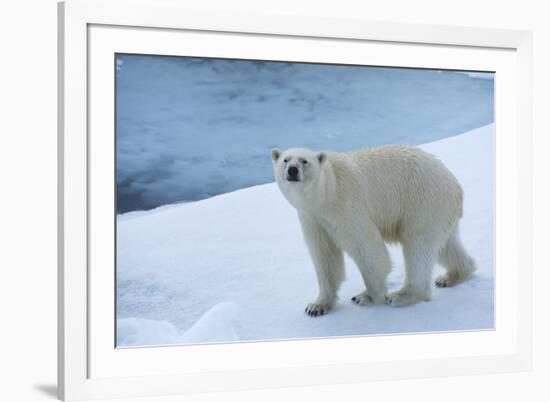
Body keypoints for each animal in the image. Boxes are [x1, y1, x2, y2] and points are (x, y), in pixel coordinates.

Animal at [272, 145, 478, 318]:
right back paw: (453, 276)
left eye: (304, 161)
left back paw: (402, 295)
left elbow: (366, 246)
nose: (292, 170)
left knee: (418, 247)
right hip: (440, 211)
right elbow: (324, 255)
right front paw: (317, 306)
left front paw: (367, 297)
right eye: (285, 159)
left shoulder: (345, 205)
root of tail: (456, 186)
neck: (326, 192)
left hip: (423, 202)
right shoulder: (313, 218)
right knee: (446, 245)